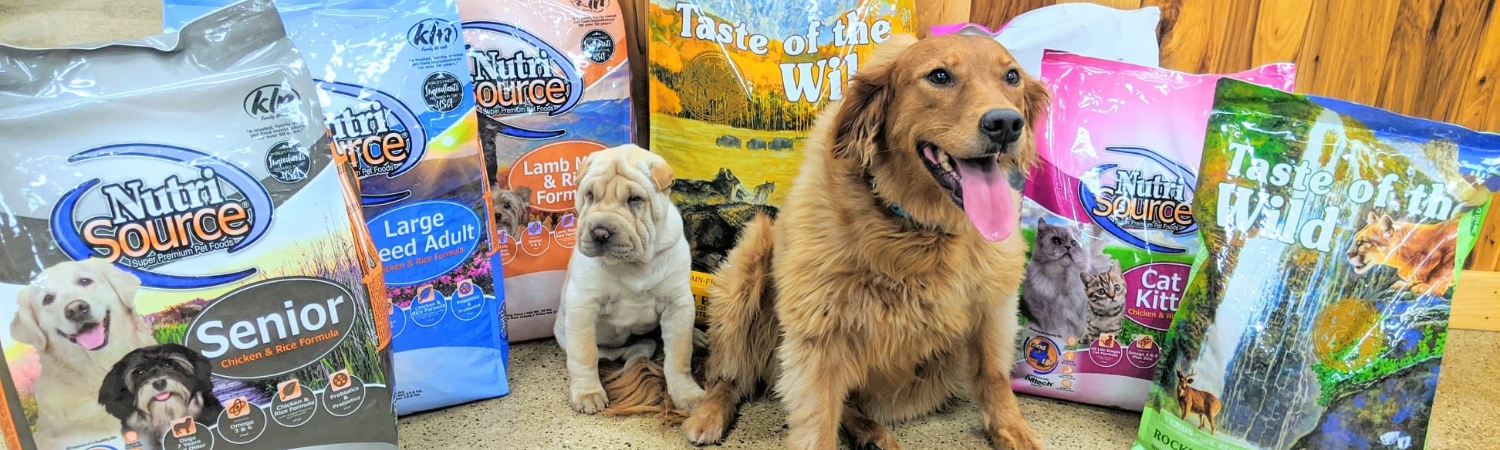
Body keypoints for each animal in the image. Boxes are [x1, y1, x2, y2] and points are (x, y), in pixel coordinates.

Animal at [555, 144, 705, 414]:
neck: (635, 265)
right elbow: (583, 353)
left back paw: (696, 337)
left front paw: (688, 395)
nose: (600, 232)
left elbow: (679, 355)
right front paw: (588, 393)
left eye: (634, 199)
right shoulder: (583, 305)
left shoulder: (678, 303)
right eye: (590, 195)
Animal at [684, 32, 1050, 450]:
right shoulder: (818, 338)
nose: (1006, 123)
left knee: (850, 405)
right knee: (729, 374)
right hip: (749, 257)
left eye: (1012, 76)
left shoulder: (993, 305)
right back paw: (710, 414)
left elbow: (994, 375)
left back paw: (871, 434)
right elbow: (818, 425)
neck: (917, 229)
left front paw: (1015, 432)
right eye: (939, 76)